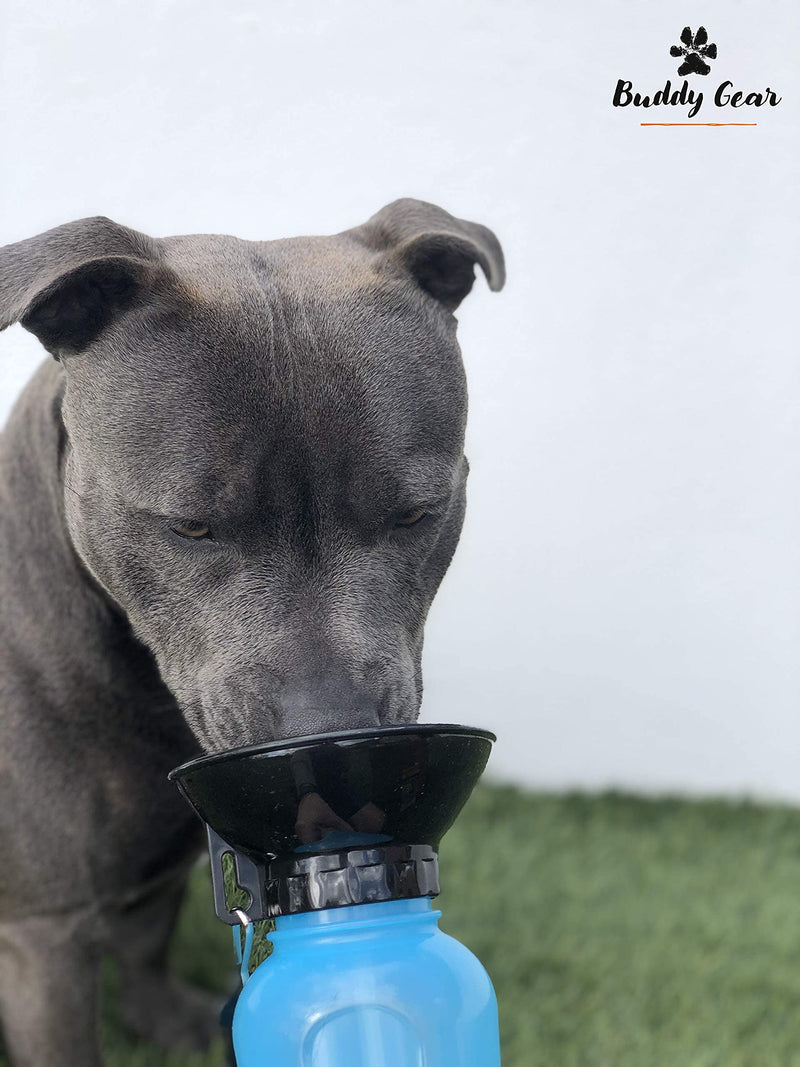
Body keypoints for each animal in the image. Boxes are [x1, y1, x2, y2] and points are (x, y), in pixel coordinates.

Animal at [0, 201, 503, 1067]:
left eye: (416, 514)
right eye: (190, 526)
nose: (326, 731)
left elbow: (147, 938)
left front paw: (168, 1021)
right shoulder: (44, 934)